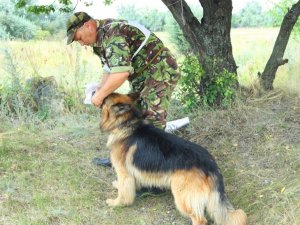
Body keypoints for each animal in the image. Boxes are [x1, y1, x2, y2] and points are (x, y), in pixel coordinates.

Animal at [100, 92, 246, 224]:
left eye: (105, 99)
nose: (98, 94)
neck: (127, 123)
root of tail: (211, 165)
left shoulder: (124, 173)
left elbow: (124, 192)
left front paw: (116, 203)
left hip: (182, 196)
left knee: (200, 219)